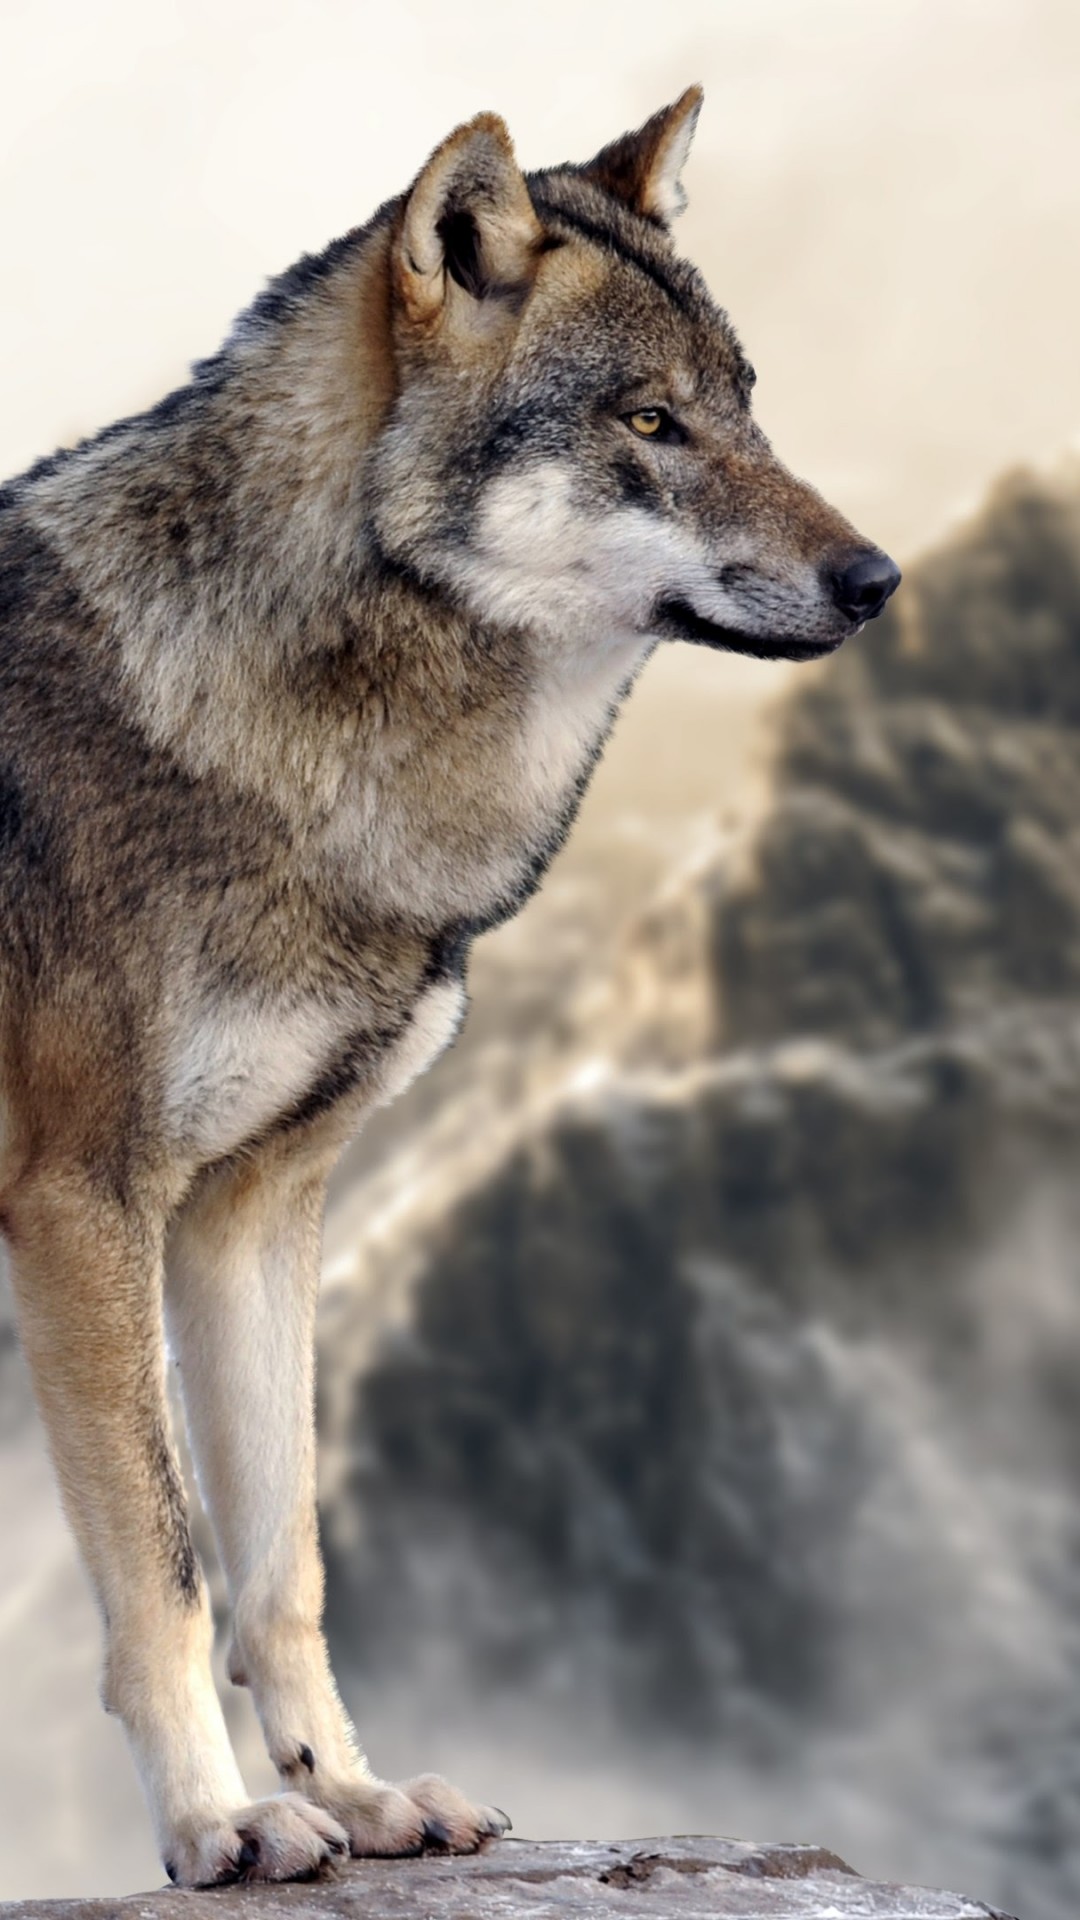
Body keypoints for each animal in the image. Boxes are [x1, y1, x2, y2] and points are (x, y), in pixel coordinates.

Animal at [0, 88, 899, 1886]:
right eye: (648, 422)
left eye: (747, 408)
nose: (879, 580)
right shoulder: (81, 1202)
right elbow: (166, 1559)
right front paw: (220, 1822)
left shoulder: (253, 1209)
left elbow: (284, 1559)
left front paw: (350, 1794)